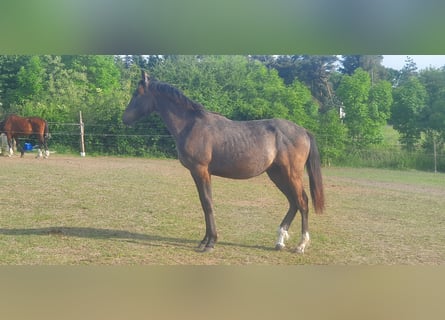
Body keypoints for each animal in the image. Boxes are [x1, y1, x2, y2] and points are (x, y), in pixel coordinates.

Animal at [121, 71, 322, 254]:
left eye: (137, 94)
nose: (124, 118)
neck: (191, 125)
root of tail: (304, 131)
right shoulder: (198, 173)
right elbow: (204, 204)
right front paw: (204, 241)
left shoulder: (201, 171)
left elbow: (208, 203)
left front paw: (210, 243)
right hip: (277, 174)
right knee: (293, 202)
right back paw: (280, 241)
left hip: (291, 174)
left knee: (302, 202)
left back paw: (301, 245)